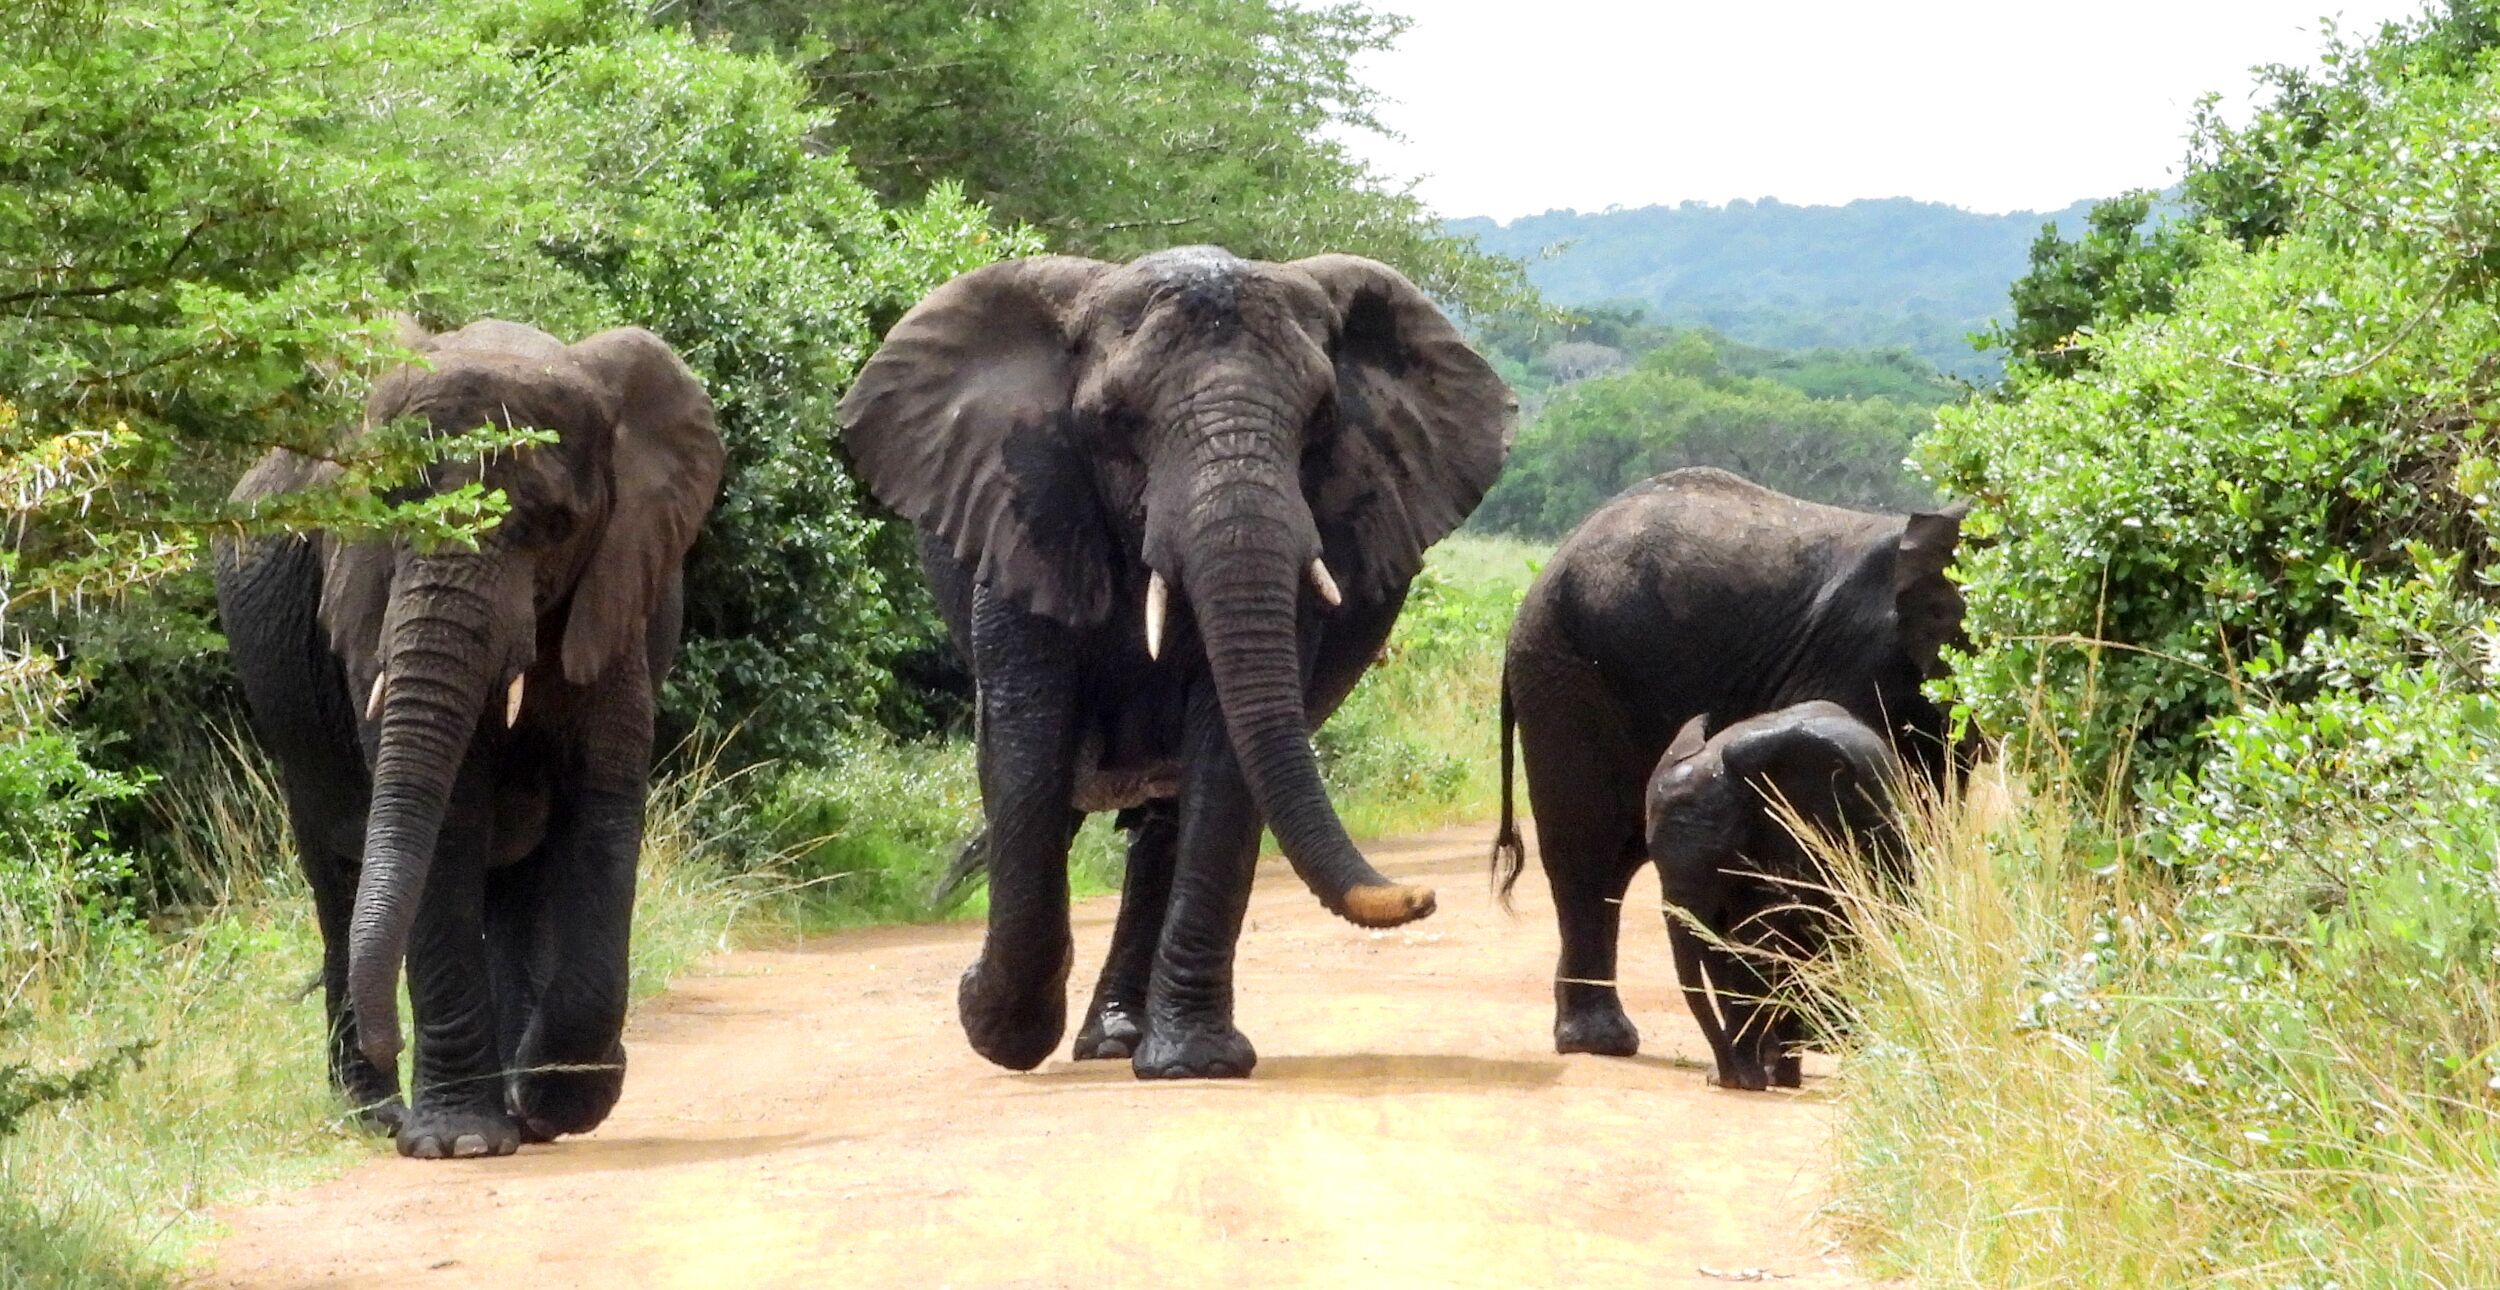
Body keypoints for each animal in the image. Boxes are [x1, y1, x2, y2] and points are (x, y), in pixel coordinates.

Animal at [214, 319, 723, 1158]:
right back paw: (378, 1109)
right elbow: (446, 825)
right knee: (338, 869)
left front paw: (554, 1102)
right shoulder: (366, 614)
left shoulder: (618, 594)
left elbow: (602, 813)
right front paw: (459, 1142)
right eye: (383, 512)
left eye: (555, 526)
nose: (390, 1038)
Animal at [838, 247, 1515, 1079]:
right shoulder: (1030, 514)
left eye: (1323, 417)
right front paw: (991, 1023)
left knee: (1165, 817)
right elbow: (1027, 758)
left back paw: (1120, 1041)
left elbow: (1225, 758)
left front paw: (1196, 1064)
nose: (1423, 897)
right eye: (1114, 419)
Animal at [1644, 702, 1903, 1090]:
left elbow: (1759, 943)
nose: (1722, 1076)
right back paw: (1781, 1075)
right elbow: (1724, 950)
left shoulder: (1791, 835)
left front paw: (1744, 1080)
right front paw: (1737, 1079)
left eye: (1724, 855)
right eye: (1652, 857)